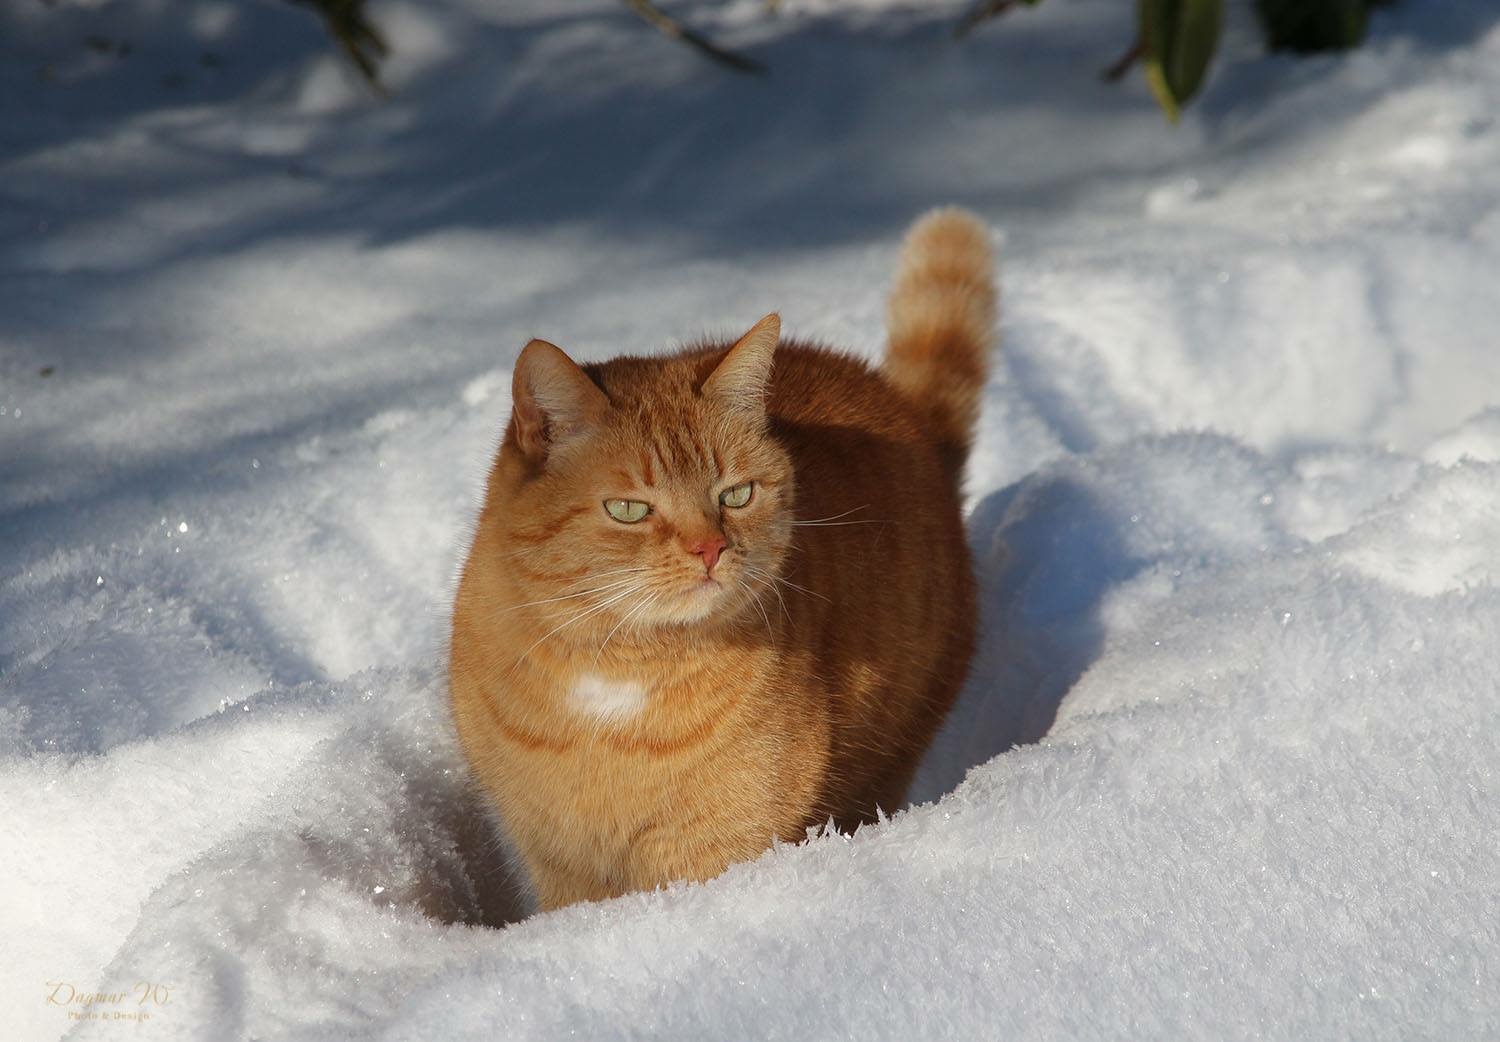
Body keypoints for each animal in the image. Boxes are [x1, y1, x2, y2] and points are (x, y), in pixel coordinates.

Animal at [453, 208, 996, 911]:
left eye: (734, 495)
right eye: (628, 509)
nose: (709, 548)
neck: (617, 682)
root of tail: (909, 414)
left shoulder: (719, 845)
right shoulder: (560, 862)